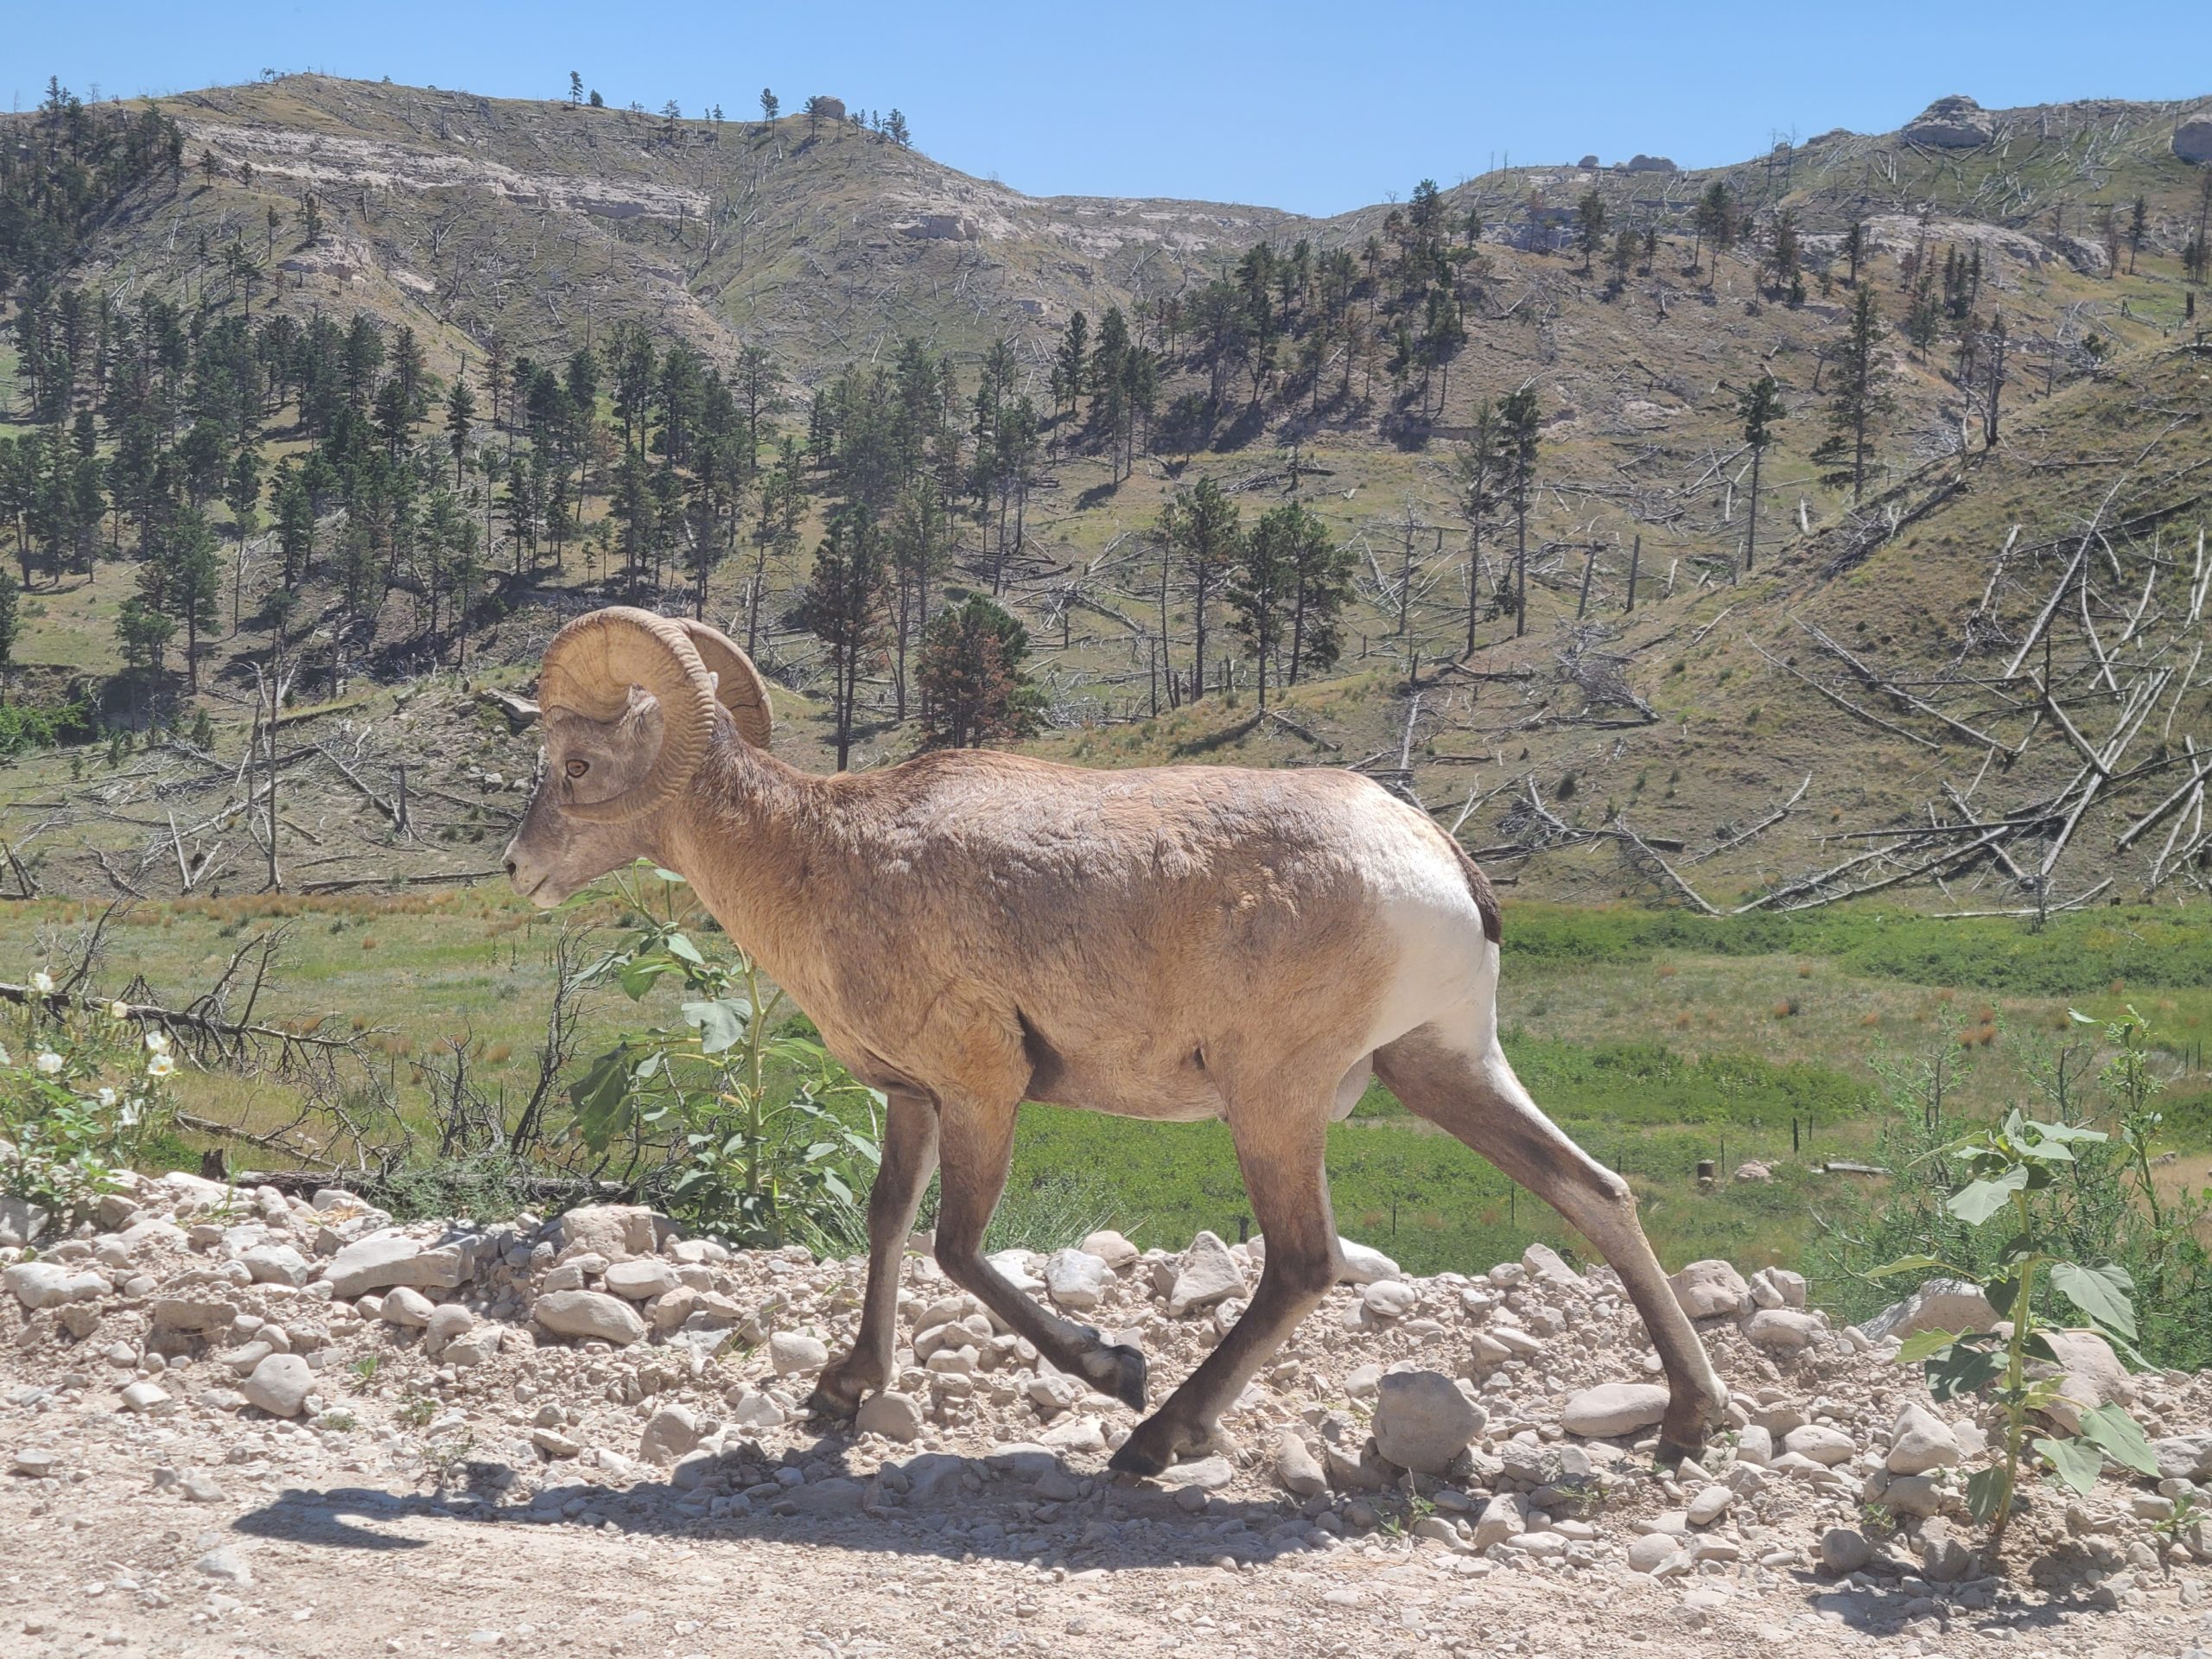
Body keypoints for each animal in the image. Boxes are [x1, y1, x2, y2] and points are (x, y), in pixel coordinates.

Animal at [504, 606, 1726, 1474]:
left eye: (575, 767)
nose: (518, 869)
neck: (824, 857)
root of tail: (1436, 863)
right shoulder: (912, 1098)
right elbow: (890, 1223)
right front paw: (844, 1392)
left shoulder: (983, 1090)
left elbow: (958, 1249)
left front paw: (1111, 1369)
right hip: (1442, 1069)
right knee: (1594, 1193)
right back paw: (1689, 1421)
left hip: (1275, 1102)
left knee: (1304, 1261)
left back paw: (1154, 1436)